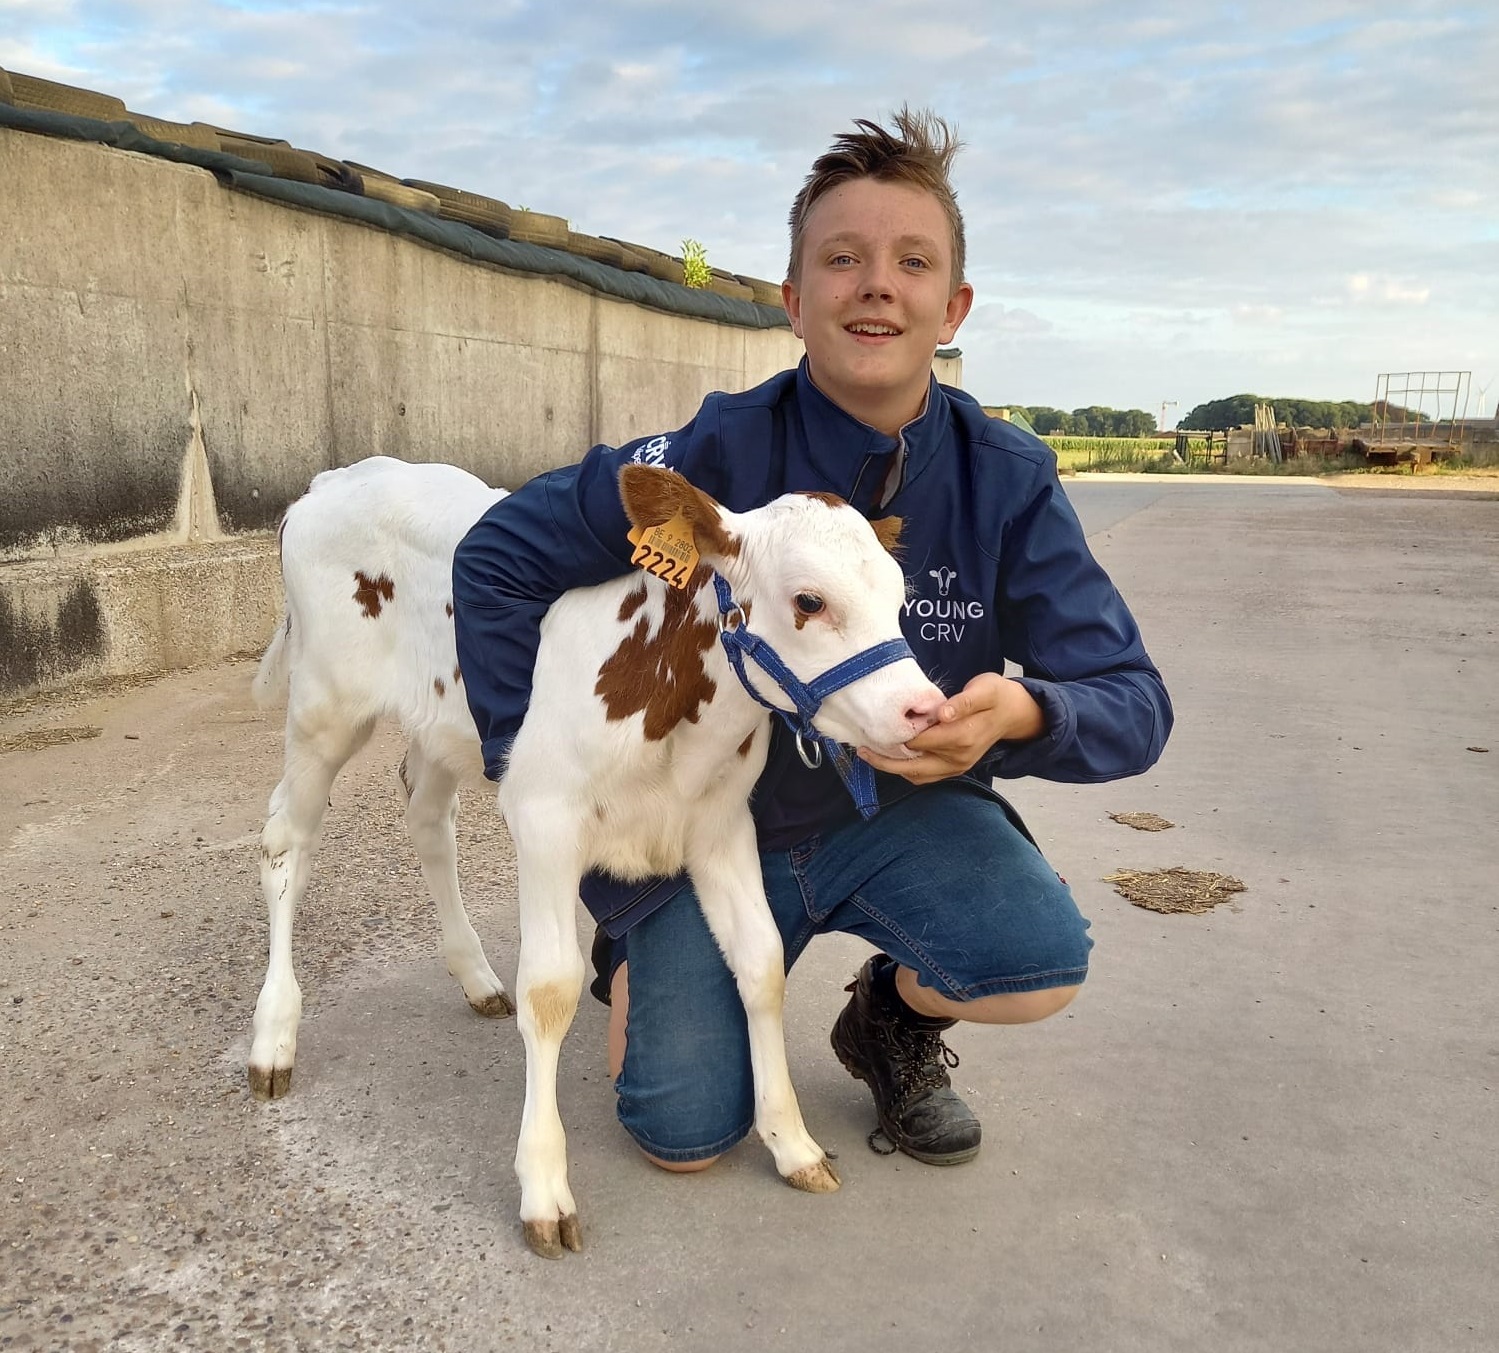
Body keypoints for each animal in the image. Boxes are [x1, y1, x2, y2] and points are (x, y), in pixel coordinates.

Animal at [251, 455, 941, 1258]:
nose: (923, 710)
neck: (668, 704)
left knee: (426, 818)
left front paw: (791, 1141)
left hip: (443, 725)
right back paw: (273, 1036)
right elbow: (551, 990)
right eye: (810, 600)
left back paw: (474, 975)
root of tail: (340, 477)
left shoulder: (719, 824)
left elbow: (763, 963)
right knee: (286, 836)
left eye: (898, 596)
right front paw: (544, 1187)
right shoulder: (544, 819)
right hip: (323, 709)